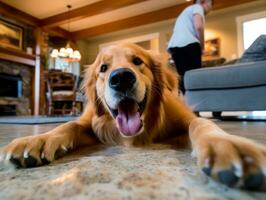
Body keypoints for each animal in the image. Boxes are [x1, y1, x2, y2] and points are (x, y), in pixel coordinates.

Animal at [1, 43, 266, 190]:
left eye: (138, 61)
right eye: (103, 68)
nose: (121, 78)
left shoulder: (186, 119)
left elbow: (201, 123)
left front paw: (226, 144)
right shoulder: (91, 123)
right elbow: (68, 126)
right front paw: (37, 140)